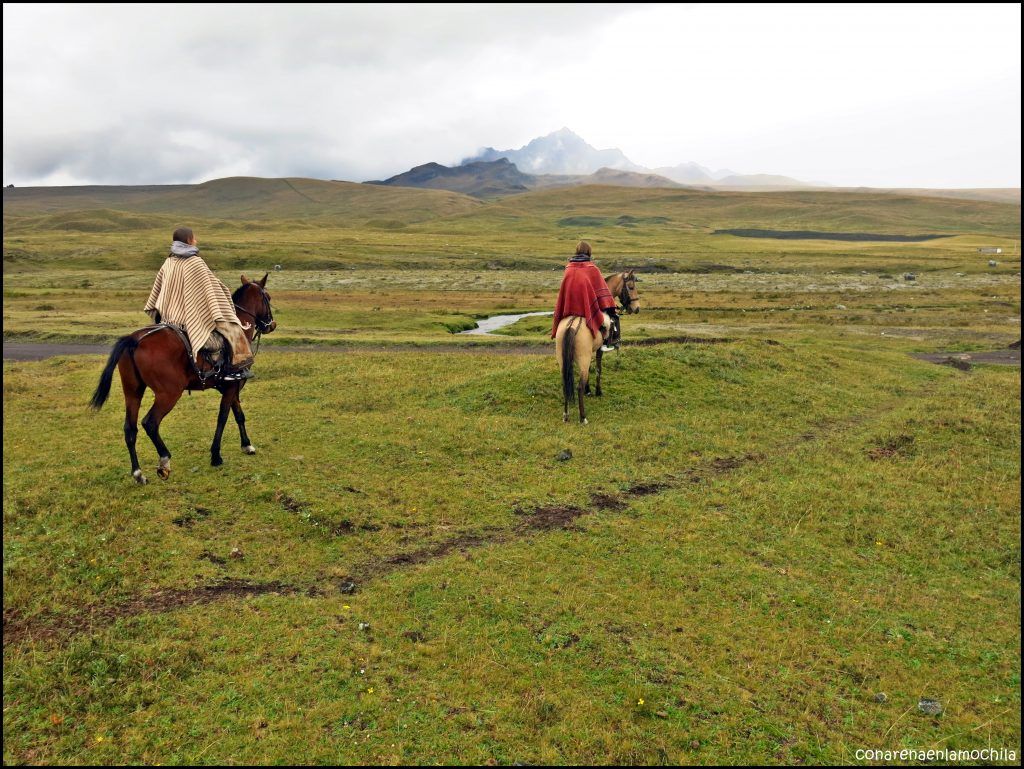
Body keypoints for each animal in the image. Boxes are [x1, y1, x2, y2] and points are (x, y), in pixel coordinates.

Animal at [90, 274, 276, 483]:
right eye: (268, 297)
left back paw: (138, 473)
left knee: (130, 429)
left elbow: (239, 415)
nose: (272, 324)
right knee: (150, 423)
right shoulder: (231, 388)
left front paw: (246, 445)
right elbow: (223, 418)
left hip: (133, 392)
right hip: (169, 394)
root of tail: (134, 339)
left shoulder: (232, 386)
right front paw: (216, 455)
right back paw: (164, 460)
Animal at [552, 270, 638, 423]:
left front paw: (589, 390)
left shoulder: (590, 352)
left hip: (563, 359)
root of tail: (571, 325)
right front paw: (598, 391)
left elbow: (590, 369)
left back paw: (566, 415)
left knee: (565, 383)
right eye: (631, 287)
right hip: (582, 358)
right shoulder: (599, 350)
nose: (637, 308)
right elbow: (598, 369)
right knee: (578, 386)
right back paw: (583, 417)